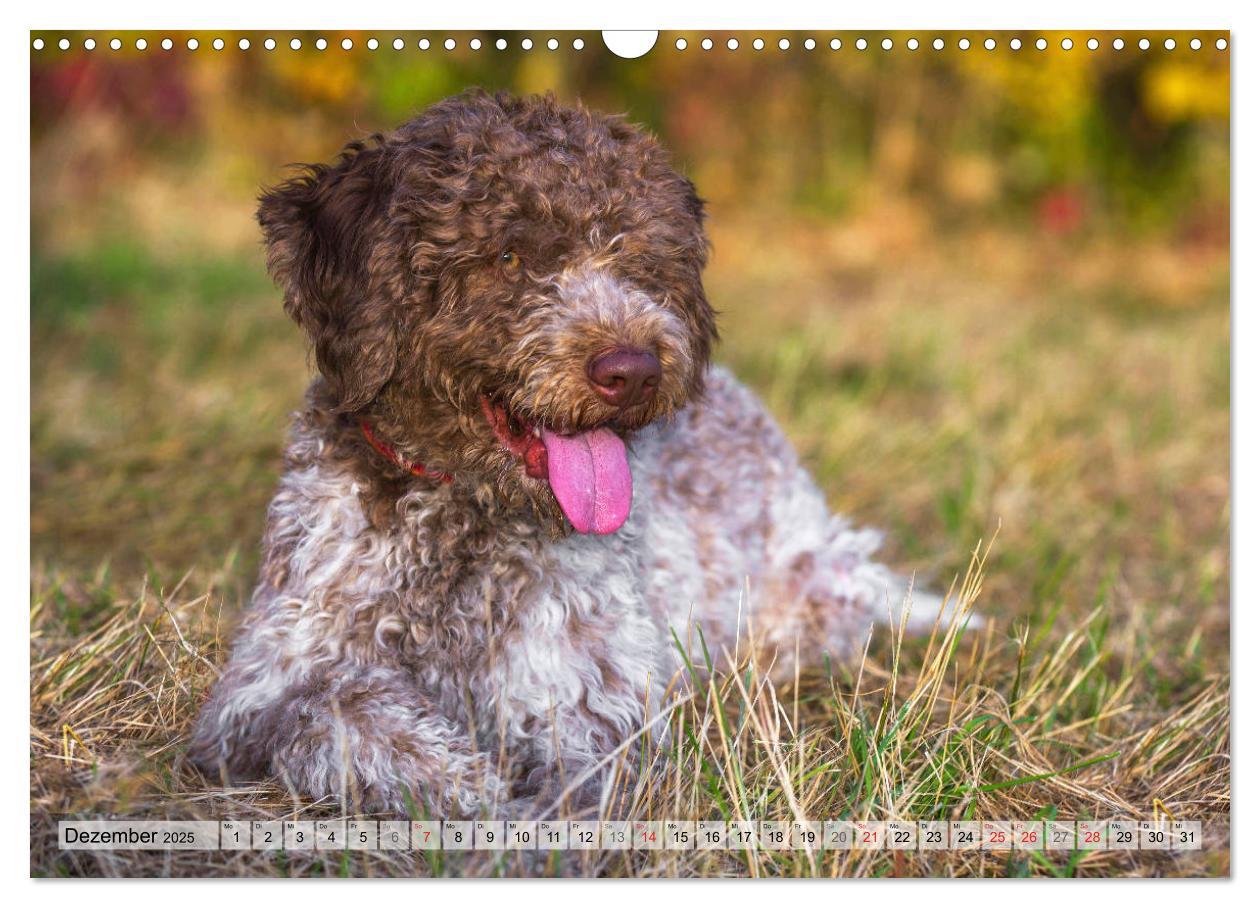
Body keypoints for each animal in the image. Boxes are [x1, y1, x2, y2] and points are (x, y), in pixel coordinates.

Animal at [191, 90, 947, 816]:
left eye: (640, 260)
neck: (461, 518)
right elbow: (335, 715)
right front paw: (462, 784)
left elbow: (577, 792)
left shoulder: (592, 699)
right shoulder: (261, 685)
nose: (635, 371)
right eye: (509, 255)